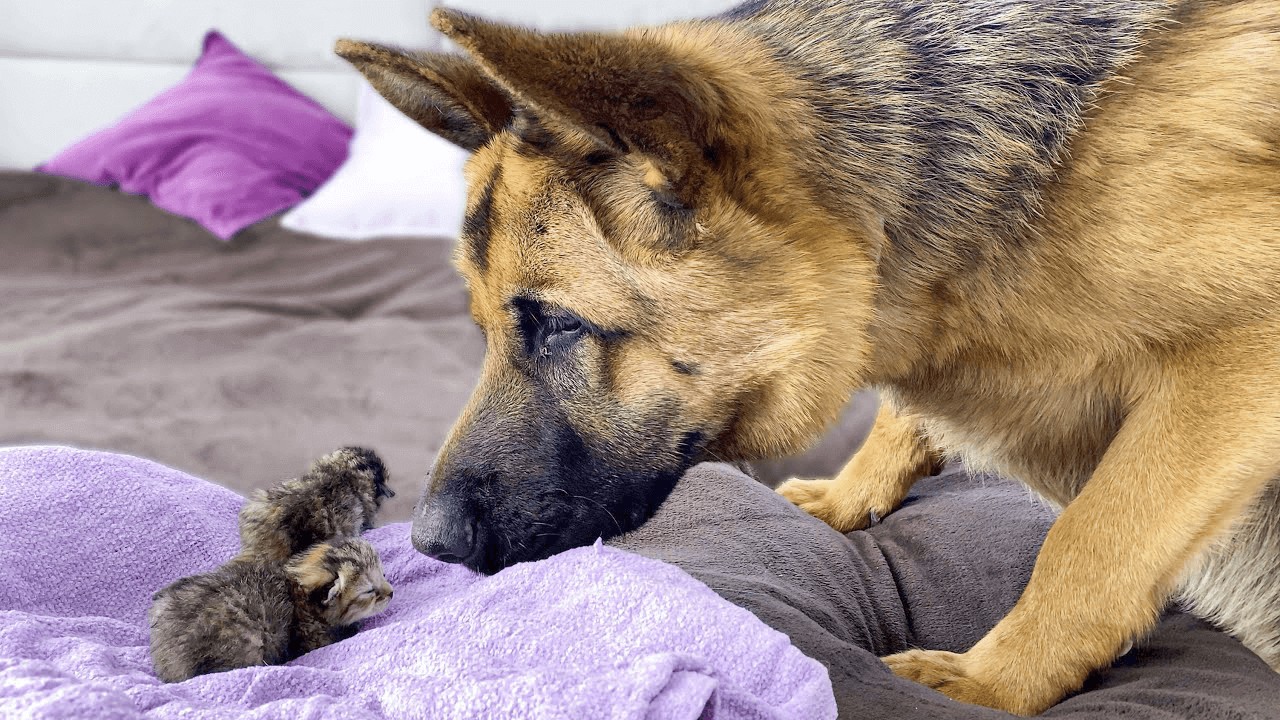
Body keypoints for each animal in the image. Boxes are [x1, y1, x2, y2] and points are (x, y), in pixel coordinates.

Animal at [337, 2, 1280, 712]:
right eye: (487, 329)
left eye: (561, 325)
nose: (427, 544)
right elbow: (905, 419)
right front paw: (848, 495)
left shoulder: (1236, 360)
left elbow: (1096, 535)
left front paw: (992, 684)